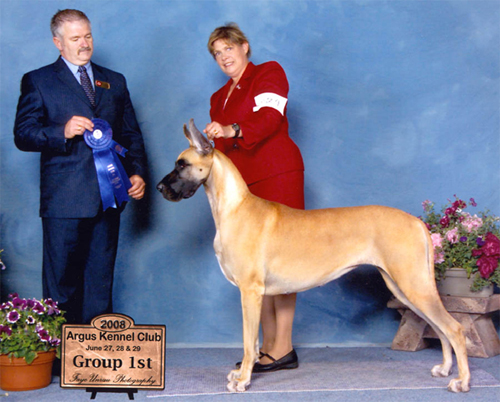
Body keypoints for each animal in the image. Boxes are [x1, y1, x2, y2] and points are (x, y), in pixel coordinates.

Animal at [157, 119, 470, 393]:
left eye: (182, 164)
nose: (159, 188)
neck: (233, 207)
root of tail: (416, 222)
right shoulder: (253, 294)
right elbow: (252, 344)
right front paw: (243, 373)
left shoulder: (250, 292)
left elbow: (248, 342)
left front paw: (243, 379)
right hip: (404, 287)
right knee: (438, 327)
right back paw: (445, 368)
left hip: (413, 284)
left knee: (453, 328)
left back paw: (461, 381)